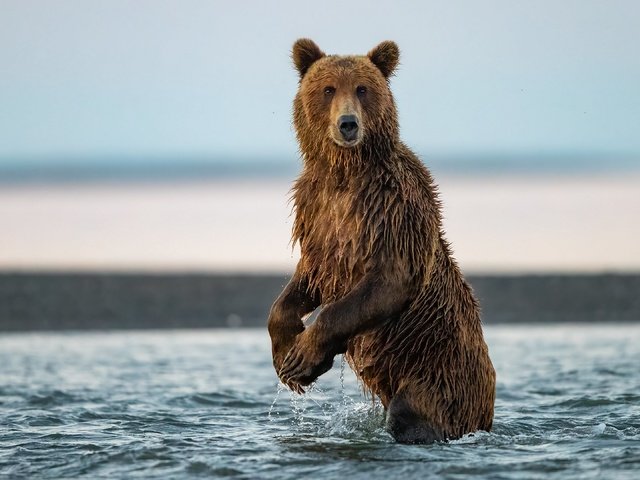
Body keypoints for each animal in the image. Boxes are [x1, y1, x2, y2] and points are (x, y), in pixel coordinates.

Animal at [268, 39, 498, 444]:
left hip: (437, 372)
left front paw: (304, 356)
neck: (345, 174)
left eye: (362, 89)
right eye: (328, 89)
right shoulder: (318, 217)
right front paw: (286, 355)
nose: (347, 124)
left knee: (412, 412)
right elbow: (305, 279)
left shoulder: (392, 211)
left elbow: (388, 281)